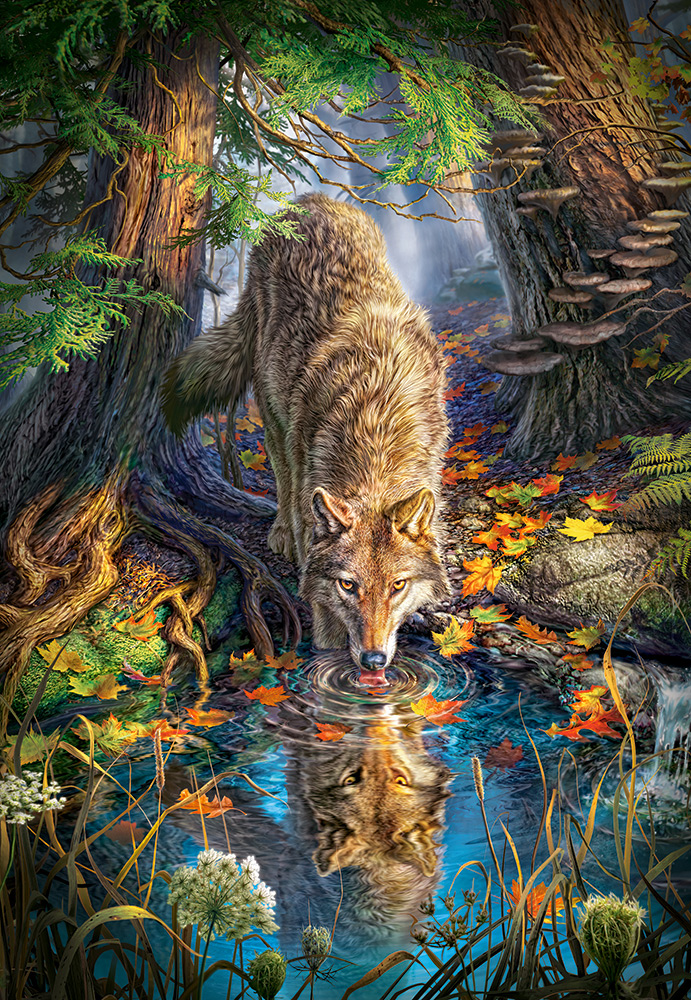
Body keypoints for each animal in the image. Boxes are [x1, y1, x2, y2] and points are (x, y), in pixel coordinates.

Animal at [162, 194, 449, 680]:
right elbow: (325, 625)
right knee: (281, 476)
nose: (374, 660)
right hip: (274, 412)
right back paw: (279, 530)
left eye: (397, 586)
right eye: (348, 585)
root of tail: (304, 201)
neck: (376, 424)